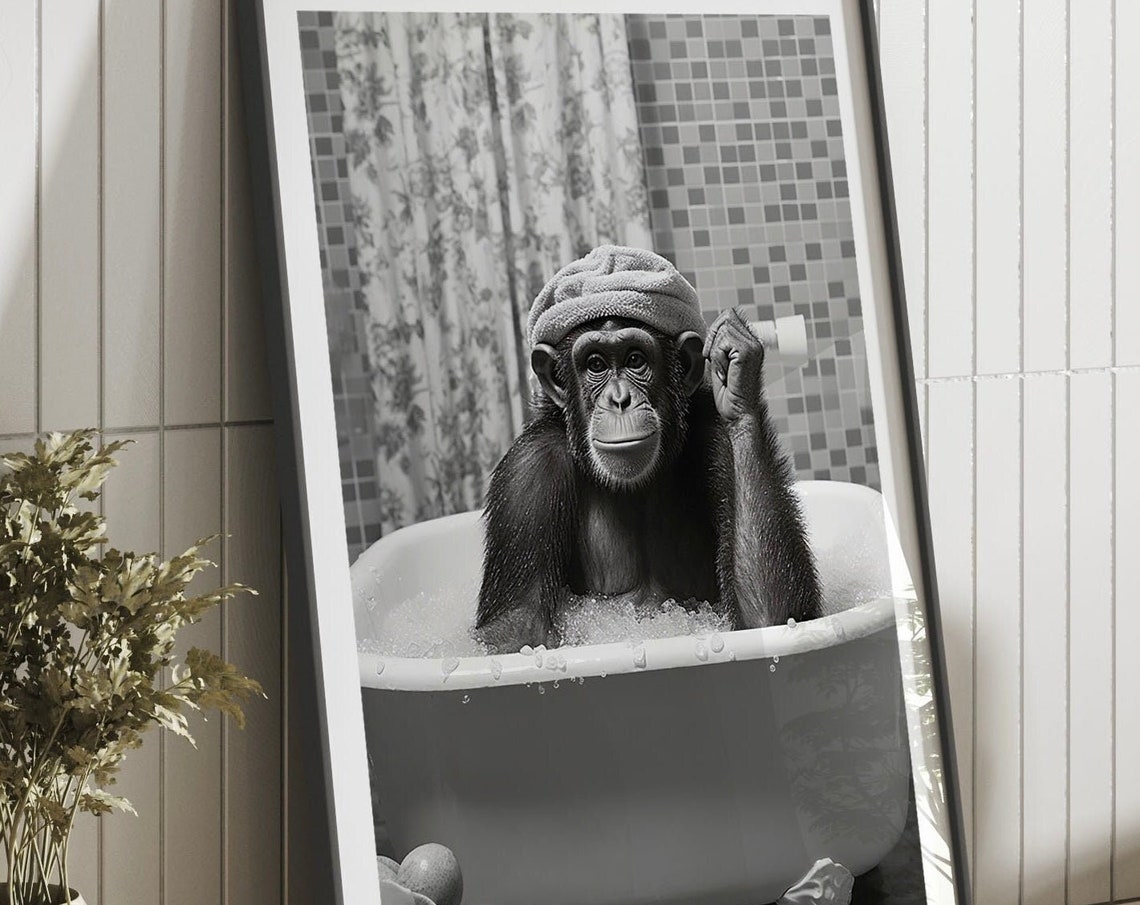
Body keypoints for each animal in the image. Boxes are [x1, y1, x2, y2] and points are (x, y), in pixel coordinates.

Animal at [474, 246, 820, 653]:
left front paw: (735, 363)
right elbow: (517, 627)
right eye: (595, 364)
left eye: (635, 359)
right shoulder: (527, 472)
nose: (620, 399)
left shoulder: (719, 437)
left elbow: (771, 617)